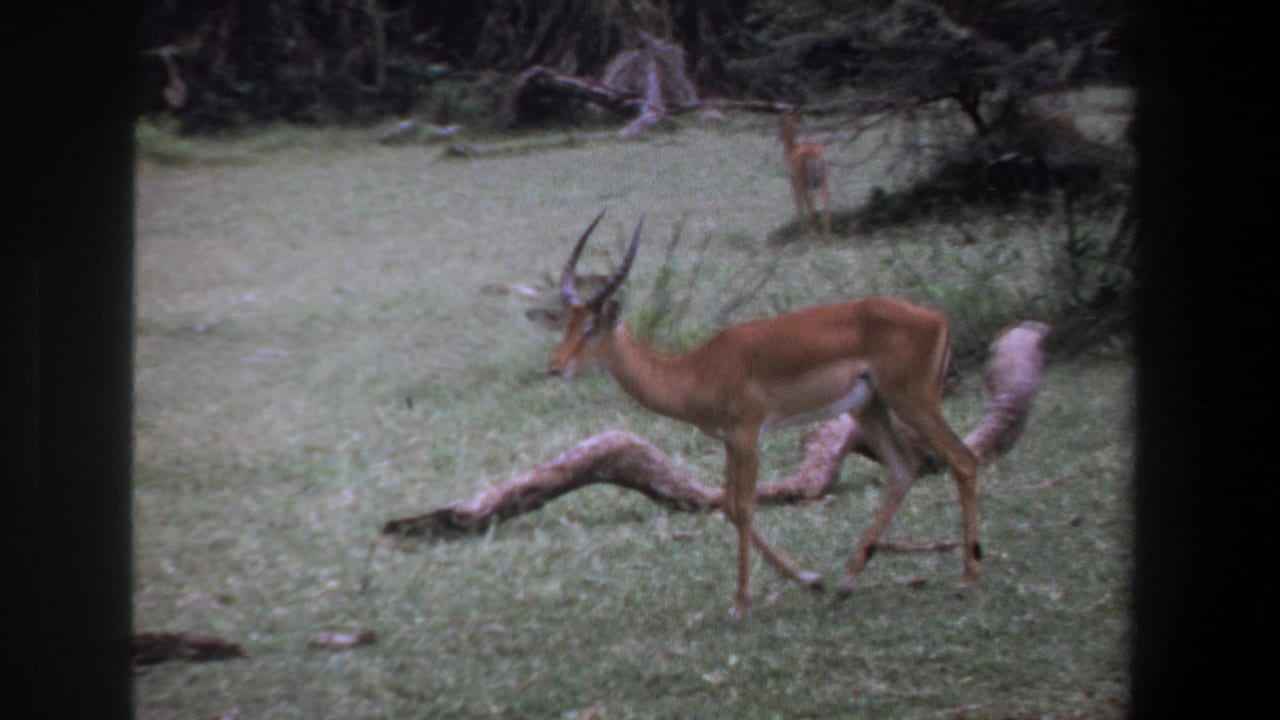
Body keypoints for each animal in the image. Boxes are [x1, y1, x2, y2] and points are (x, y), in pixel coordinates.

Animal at [548, 211, 980, 619]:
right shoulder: (728, 440)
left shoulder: (748, 433)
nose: (554, 367)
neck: (695, 371)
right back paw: (846, 582)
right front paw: (811, 579)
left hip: (914, 403)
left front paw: (741, 603)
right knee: (904, 470)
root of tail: (937, 319)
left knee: (963, 460)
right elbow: (726, 504)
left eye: (591, 325)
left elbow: (743, 506)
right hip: (868, 409)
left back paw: (966, 581)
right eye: (566, 321)